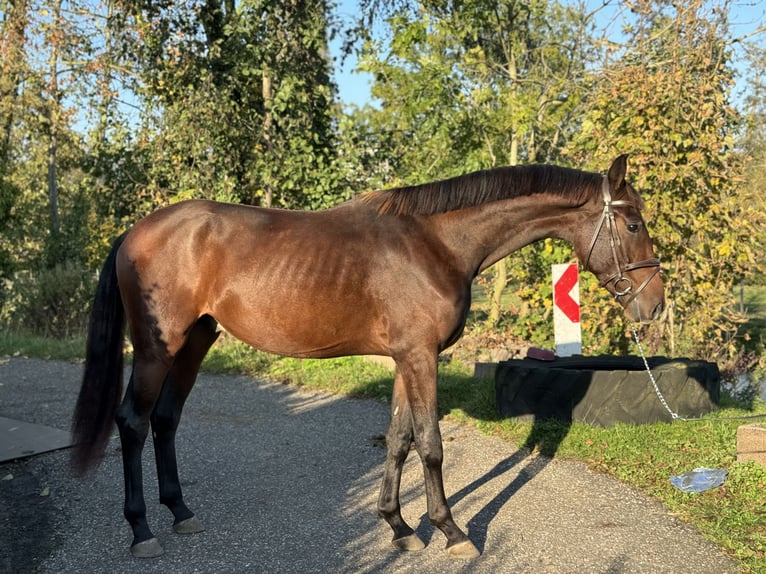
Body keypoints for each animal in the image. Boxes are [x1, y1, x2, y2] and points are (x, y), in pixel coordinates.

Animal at [70, 155, 664, 560]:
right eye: (633, 224)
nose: (654, 304)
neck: (436, 244)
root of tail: (135, 231)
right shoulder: (421, 358)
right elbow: (430, 445)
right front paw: (451, 531)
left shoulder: (406, 358)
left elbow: (399, 440)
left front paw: (399, 526)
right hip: (157, 347)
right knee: (134, 422)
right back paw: (142, 530)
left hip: (196, 340)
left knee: (166, 420)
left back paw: (180, 512)